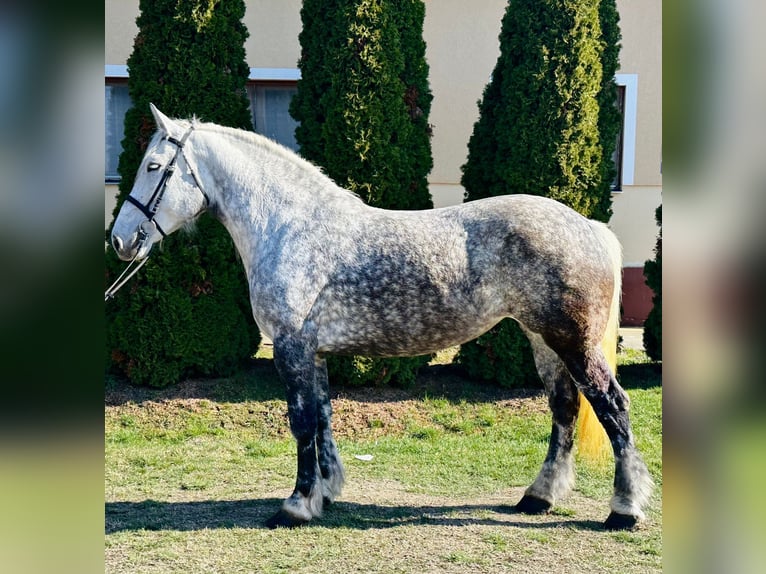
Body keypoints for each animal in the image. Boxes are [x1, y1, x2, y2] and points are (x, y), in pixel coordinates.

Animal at [109, 104, 653, 530]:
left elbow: (300, 423)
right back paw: (537, 498)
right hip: (544, 340)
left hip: (573, 342)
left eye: (154, 165)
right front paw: (325, 493)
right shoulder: (314, 352)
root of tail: (587, 225)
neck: (289, 226)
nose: (121, 240)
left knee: (613, 406)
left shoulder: (291, 347)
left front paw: (295, 505)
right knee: (564, 409)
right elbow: (322, 417)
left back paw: (623, 510)